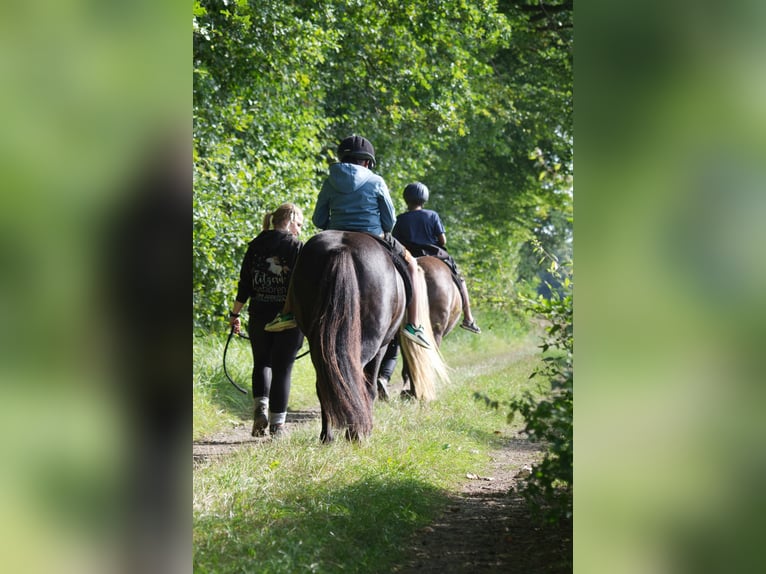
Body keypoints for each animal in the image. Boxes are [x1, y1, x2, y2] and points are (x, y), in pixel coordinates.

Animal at [288, 232, 448, 444]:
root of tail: (341, 249)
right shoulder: (382, 347)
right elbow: (370, 386)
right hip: (370, 342)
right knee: (355, 381)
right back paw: (356, 433)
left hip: (318, 343)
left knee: (325, 383)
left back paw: (327, 436)